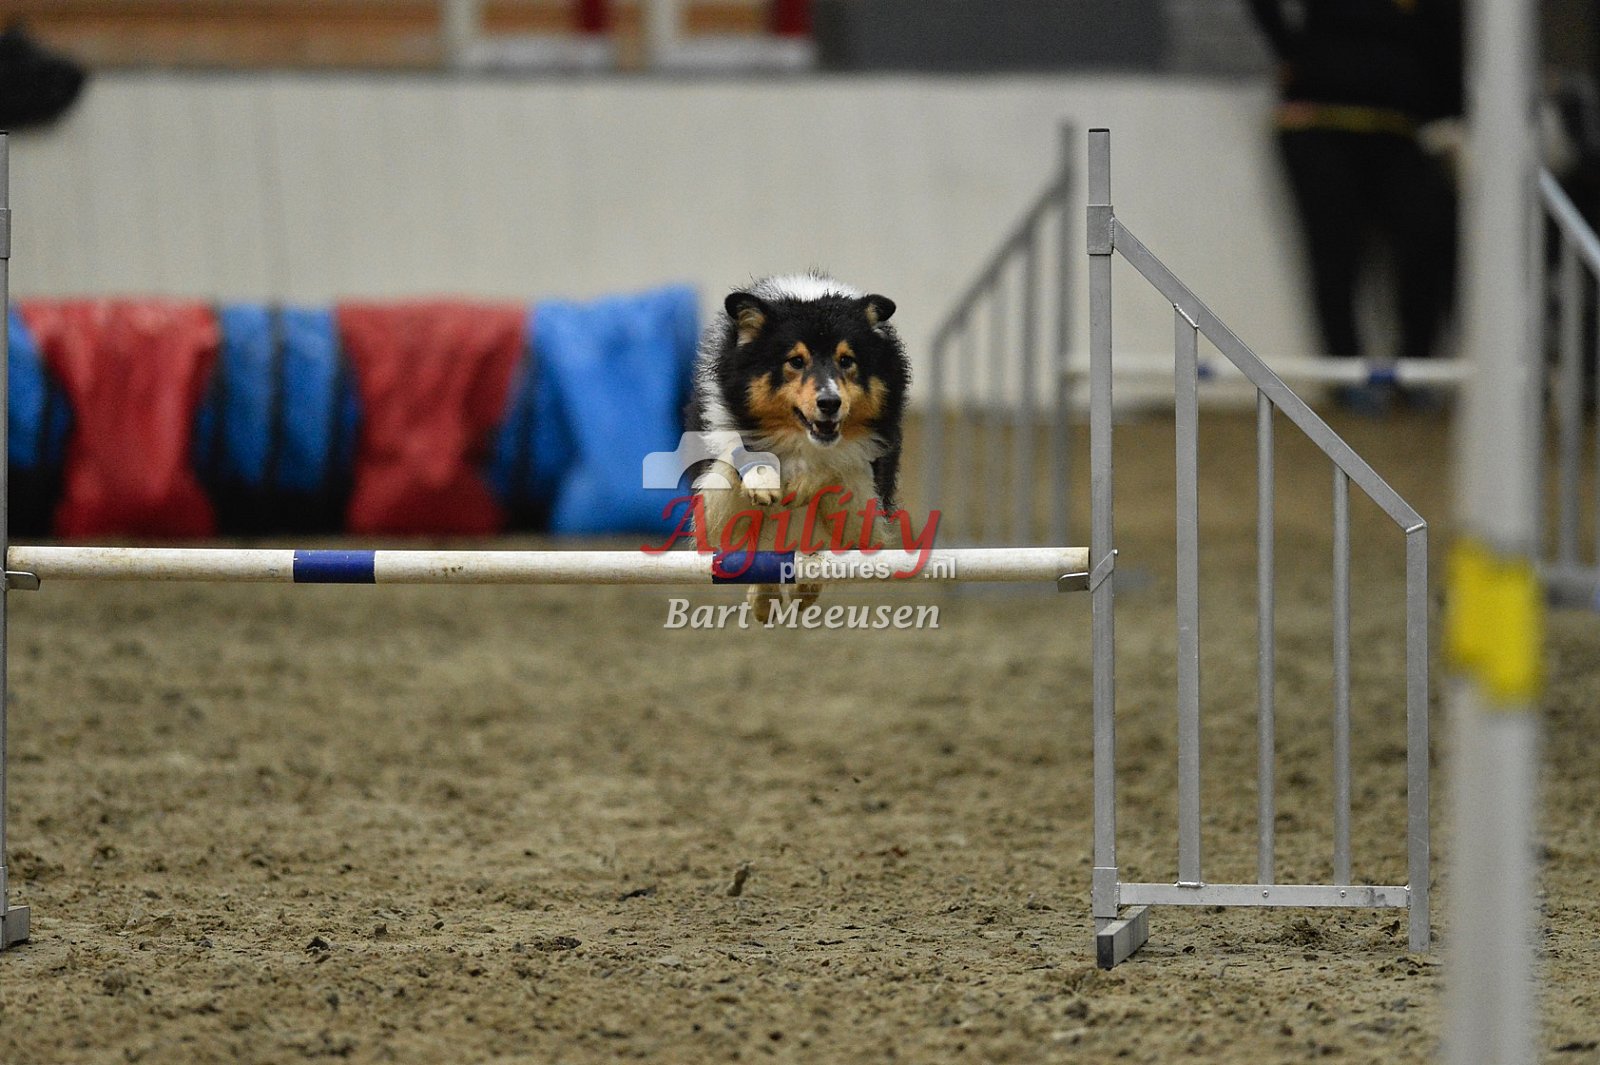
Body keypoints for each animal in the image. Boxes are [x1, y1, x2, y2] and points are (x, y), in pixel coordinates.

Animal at [687, 273, 910, 621]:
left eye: (846, 360)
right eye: (795, 361)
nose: (830, 404)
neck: (799, 442)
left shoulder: (865, 519)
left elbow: (842, 464)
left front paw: (805, 483)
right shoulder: (713, 517)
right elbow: (733, 450)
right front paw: (763, 480)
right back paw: (764, 600)